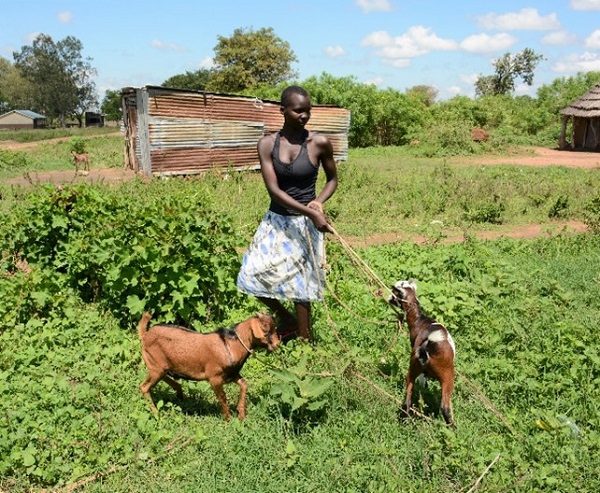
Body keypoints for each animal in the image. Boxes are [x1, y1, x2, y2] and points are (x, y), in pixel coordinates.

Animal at [138, 312, 278, 418]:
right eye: (266, 329)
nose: (277, 344)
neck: (230, 344)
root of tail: (145, 335)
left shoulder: (232, 374)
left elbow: (244, 384)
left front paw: (241, 414)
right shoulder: (215, 378)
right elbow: (222, 397)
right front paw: (228, 419)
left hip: (160, 366)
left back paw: (179, 393)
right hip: (156, 366)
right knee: (144, 387)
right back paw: (156, 413)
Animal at [390, 278, 454, 424]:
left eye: (395, 290)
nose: (389, 298)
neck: (419, 320)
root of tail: (428, 345)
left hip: (413, 367)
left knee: (407, 399)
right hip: (448, 375)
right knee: (445, 407)